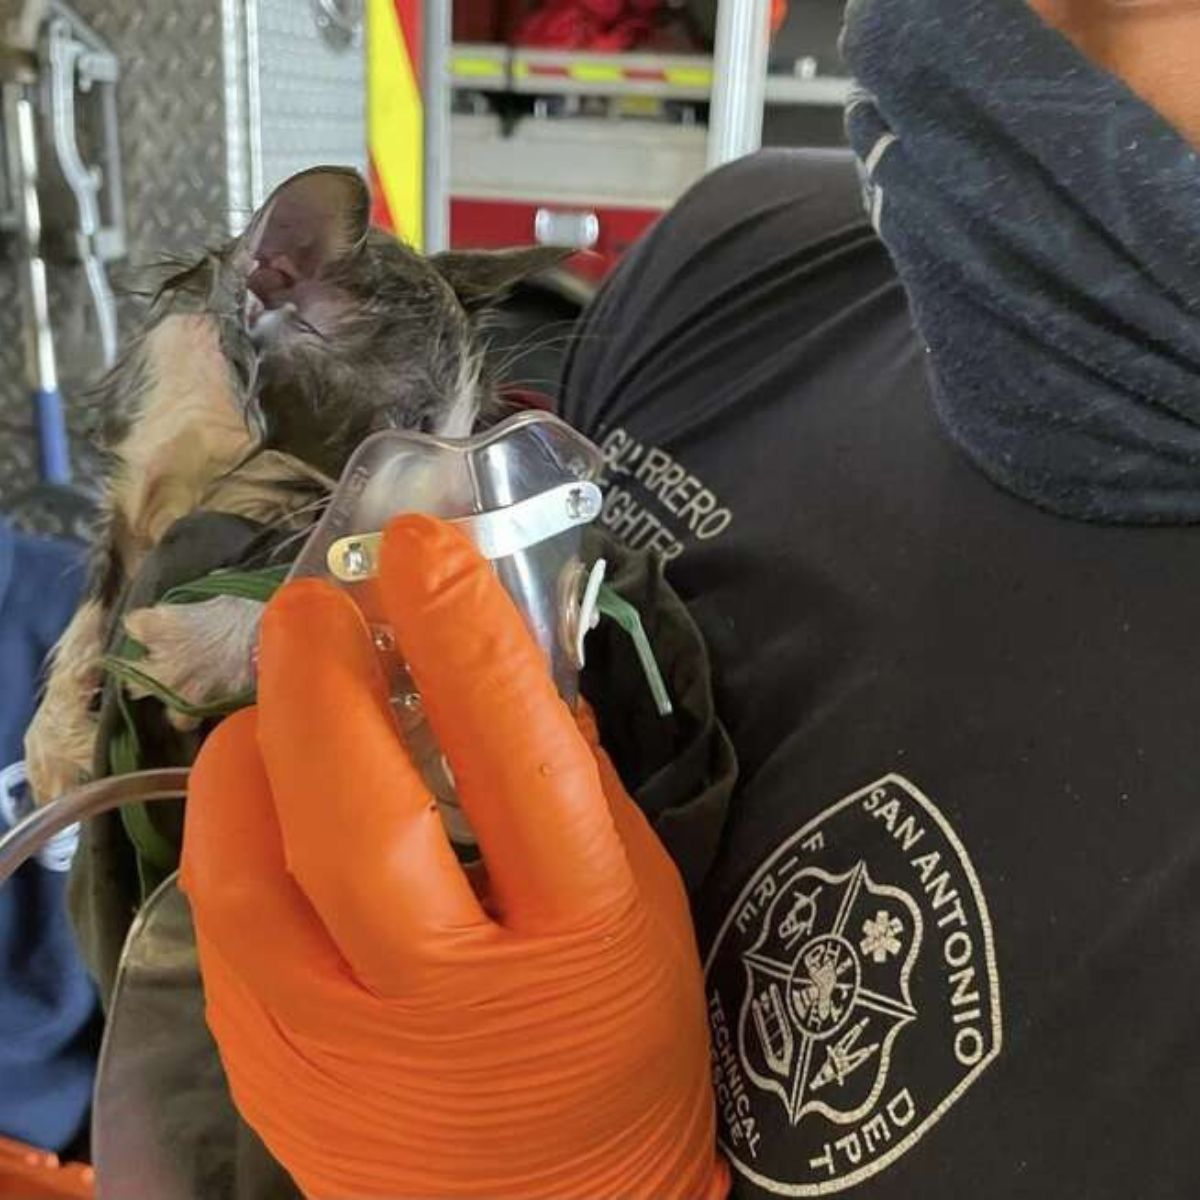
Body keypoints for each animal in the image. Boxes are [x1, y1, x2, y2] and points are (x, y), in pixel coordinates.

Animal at [24, 164, 566, 801]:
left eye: (472, 423)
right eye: (413, 431)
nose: (459, 519)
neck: (221, 437)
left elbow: (321, 569)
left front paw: (199, 648)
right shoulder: (137, 483)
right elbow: (94, 600)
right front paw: (51, 733)